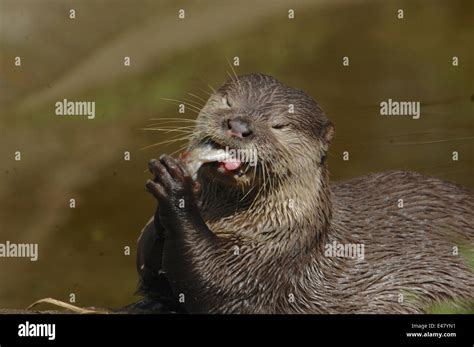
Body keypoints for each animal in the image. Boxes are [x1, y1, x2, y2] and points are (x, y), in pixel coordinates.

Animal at [135, 73, 472, 316]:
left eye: (279, 125)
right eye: (229, 102)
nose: (239, 125)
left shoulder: (274, 259)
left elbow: (211, 282)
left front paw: (177, 189)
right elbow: (150, 274)